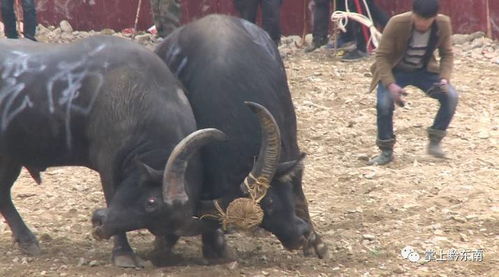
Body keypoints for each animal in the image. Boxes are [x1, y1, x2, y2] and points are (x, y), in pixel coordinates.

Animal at [0, 35, 226, 266]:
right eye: (151, 203)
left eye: (157, 226)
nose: (100, 225)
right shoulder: (108, 164)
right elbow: (110, 194)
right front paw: (123, 252)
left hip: (11, 158)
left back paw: (26, 240)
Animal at [154, 14, 330, 256]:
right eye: (268, 208)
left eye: (271, 200)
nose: (300, 235)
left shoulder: (289, 141)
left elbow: (297, 186)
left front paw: (316, 243)